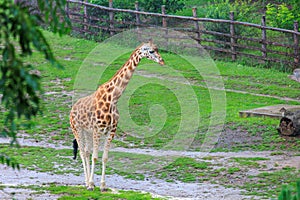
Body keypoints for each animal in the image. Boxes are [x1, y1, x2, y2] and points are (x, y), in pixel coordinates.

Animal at [69, 39, 165, 191]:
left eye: (157, 49)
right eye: (151, 51)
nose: (162, 61)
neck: (113, 98)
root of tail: (72, 110)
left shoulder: (111, 131)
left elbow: (104, 157)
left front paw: (102, 185)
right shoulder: (97, 130)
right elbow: (95, 157)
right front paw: (92, 184)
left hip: (87, 131)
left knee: (86, 151)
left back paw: (89, 181)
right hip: (77, 129)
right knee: (83, 152)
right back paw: (87, 182)